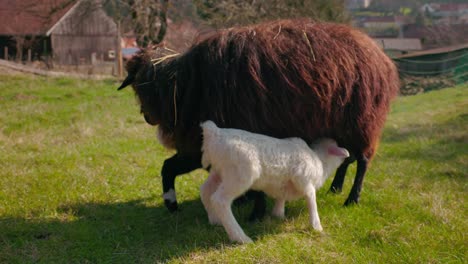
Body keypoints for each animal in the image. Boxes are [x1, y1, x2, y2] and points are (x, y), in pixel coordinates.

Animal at [199, 120, 350, 243]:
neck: (320, 161)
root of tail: (214, 133)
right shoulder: (305, 180)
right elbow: (311, 199)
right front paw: (316, 226)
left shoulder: (284, 185)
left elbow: (281, 197)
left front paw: (278, 214)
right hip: (240, 173)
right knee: (220, 200)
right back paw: (240, 238)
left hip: (219, 171)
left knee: (205, 190)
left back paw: (215, 220)